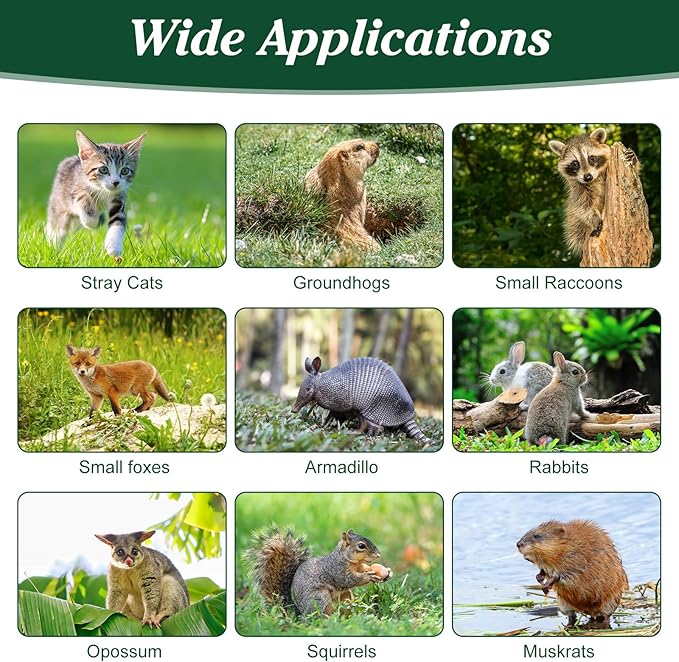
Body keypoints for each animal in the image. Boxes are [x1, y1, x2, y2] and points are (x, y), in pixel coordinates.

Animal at [245, 526, 393, 617]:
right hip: (319, 598)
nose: (378, 555)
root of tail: (299, 613)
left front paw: (388, 572)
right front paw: (368, 576)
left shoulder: (359, 567)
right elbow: (348, 580)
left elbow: (363, 570)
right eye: (361, 546)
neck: (347, 560)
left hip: (345, 596)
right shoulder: (336, 570)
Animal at [548, 128, 611, 257]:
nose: (587, 177)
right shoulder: (578, 191)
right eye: (575, 163)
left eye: (591, 158)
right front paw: (595, 218)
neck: (593, 180)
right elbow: (583, 207)